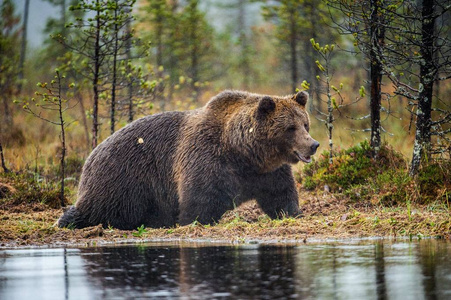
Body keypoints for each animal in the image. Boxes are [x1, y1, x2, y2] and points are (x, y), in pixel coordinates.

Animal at [58, 90, 322, 229]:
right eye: (290, 127)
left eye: (305, 123)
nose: (313, 144)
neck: (243, 152)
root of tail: (90, 156)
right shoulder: (206, 159)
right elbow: (199, 200)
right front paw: (191, 221)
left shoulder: (267, 172)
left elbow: (280, 195)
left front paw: (294, 213)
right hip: (122, 179)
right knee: (99, 208)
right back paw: (67, 220)